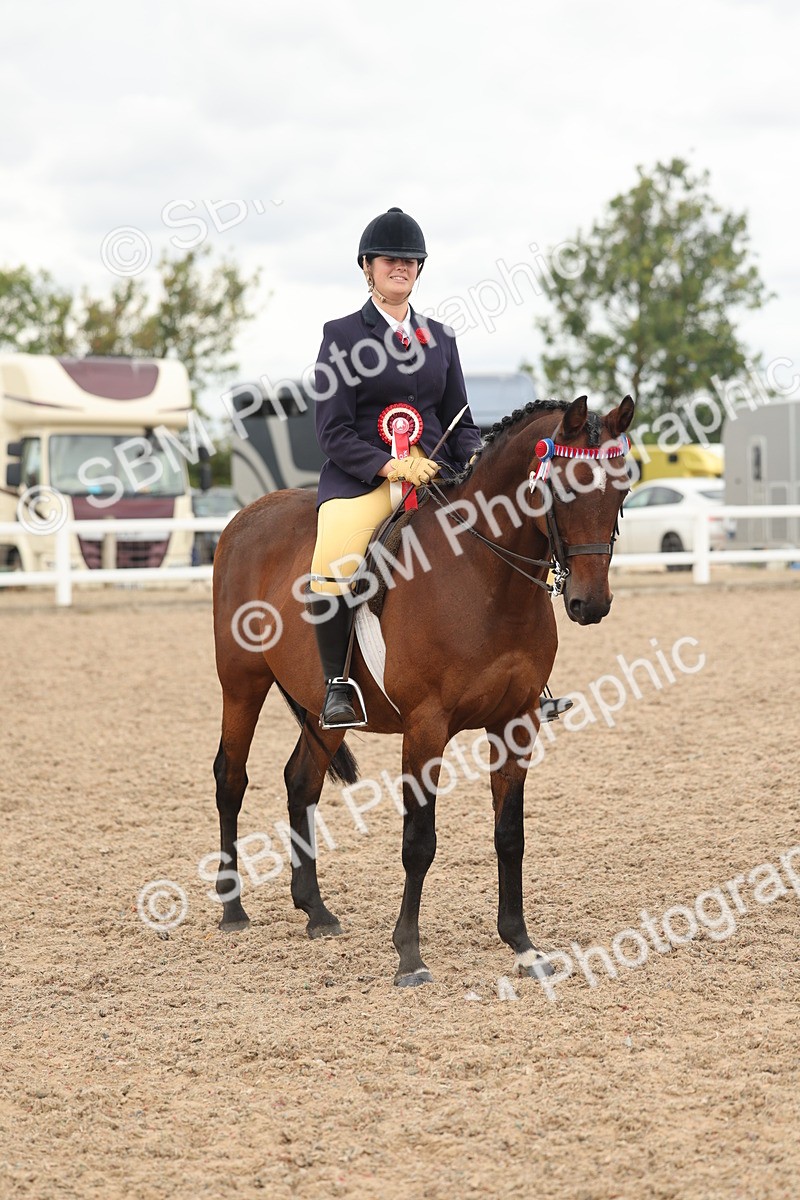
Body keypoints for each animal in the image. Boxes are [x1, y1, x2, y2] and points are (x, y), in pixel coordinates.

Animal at [211, 394, 635, 986]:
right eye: (565, 489)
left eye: (621, 491)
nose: (589, 604)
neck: (484, 579)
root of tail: (247, 516)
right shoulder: (426, 727)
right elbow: (419, 841)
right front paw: (409, 955)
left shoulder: (516, 723)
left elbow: (510, 834)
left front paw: (522, 945)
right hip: (241, 684)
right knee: (231, 779)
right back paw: (232, 909)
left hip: (324, 709)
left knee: (301, 782)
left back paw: (316, 912)